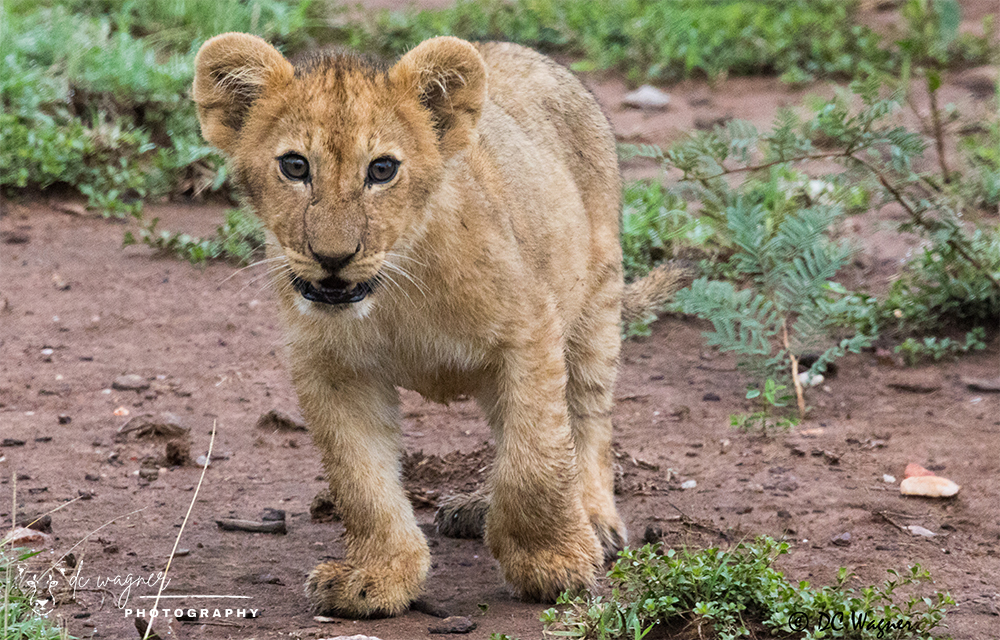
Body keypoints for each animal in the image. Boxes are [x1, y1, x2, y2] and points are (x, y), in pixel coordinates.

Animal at [192, 33, 683, 618]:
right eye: (294, 165)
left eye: (382, 170)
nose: (333, 258)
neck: (395, 295)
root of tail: (524, 52)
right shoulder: (331, 369)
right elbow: (361, 481)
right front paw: (378, 577)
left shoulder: (530, 333)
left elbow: (535, 461)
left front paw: (554, 564)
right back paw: (476, 508)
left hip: (596, 302)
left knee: (585, 418)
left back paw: (592, 519)